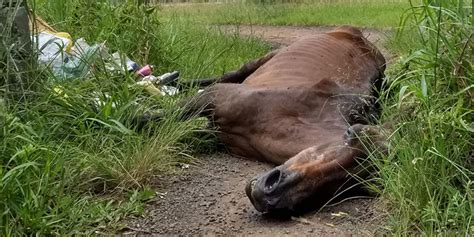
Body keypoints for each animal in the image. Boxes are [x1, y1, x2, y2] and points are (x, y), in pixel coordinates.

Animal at [173, 25, 386, 213]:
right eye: (351, 135)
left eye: (359, 185)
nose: (270, 196)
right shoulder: (213, 97)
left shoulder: (213, 131)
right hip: (263, 60)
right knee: (227, 75)